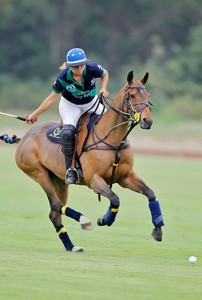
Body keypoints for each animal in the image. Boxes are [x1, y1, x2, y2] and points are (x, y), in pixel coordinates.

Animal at [15, 71, 164, 252]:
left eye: (147, 95)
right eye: (132, 95)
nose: (147, 121)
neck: (113, 139)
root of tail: (24, 137)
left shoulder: (126, 177)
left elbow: (150, 193)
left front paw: (158, 230)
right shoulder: (94, 180)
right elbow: (115, 199)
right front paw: (105, 219)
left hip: (59, 180)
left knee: (54, 214)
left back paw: (72, 246)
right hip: (38, 173)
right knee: (56, 205)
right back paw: (84, 220)